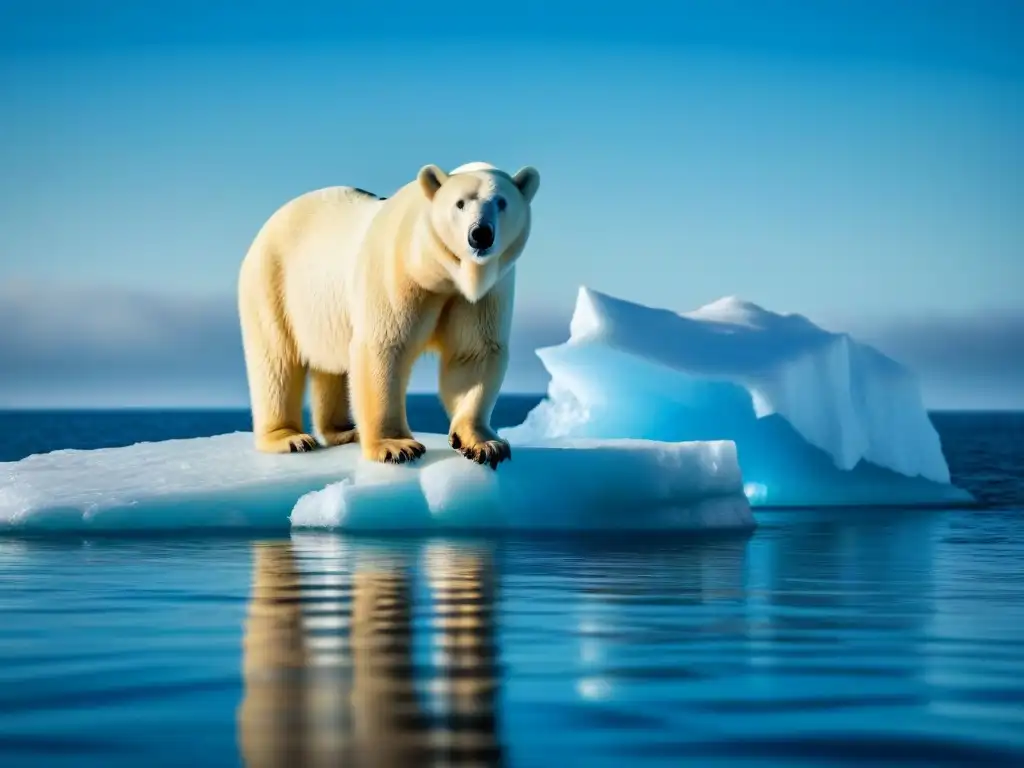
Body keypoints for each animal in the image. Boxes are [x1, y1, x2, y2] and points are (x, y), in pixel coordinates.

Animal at [237, 161, 540, 468]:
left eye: (501, 202)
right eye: (460, 203)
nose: (480, 234)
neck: (436, 271)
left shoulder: (480, 295)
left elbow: (473, 353)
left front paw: (485, 444)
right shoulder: (396, 273)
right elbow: (384, 346)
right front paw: (396, 447)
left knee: (332, 365)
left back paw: (344, 431)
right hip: (273, 283)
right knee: (276, 361)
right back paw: (289, 438)